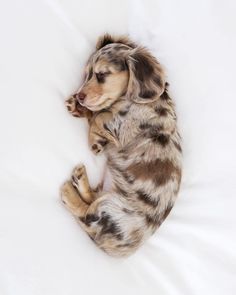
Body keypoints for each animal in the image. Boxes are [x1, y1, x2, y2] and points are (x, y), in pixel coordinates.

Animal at [60, 34, 183, 256]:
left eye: (101, 74)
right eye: (86, 75)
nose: (80, 96)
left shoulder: (123, 125)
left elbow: (100, 115)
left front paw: (95, 141)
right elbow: (99, 111)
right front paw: (78, 107)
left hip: (110, 209)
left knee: (86, 215)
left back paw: (69, 193)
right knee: (91, 198)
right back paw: (80, 179)